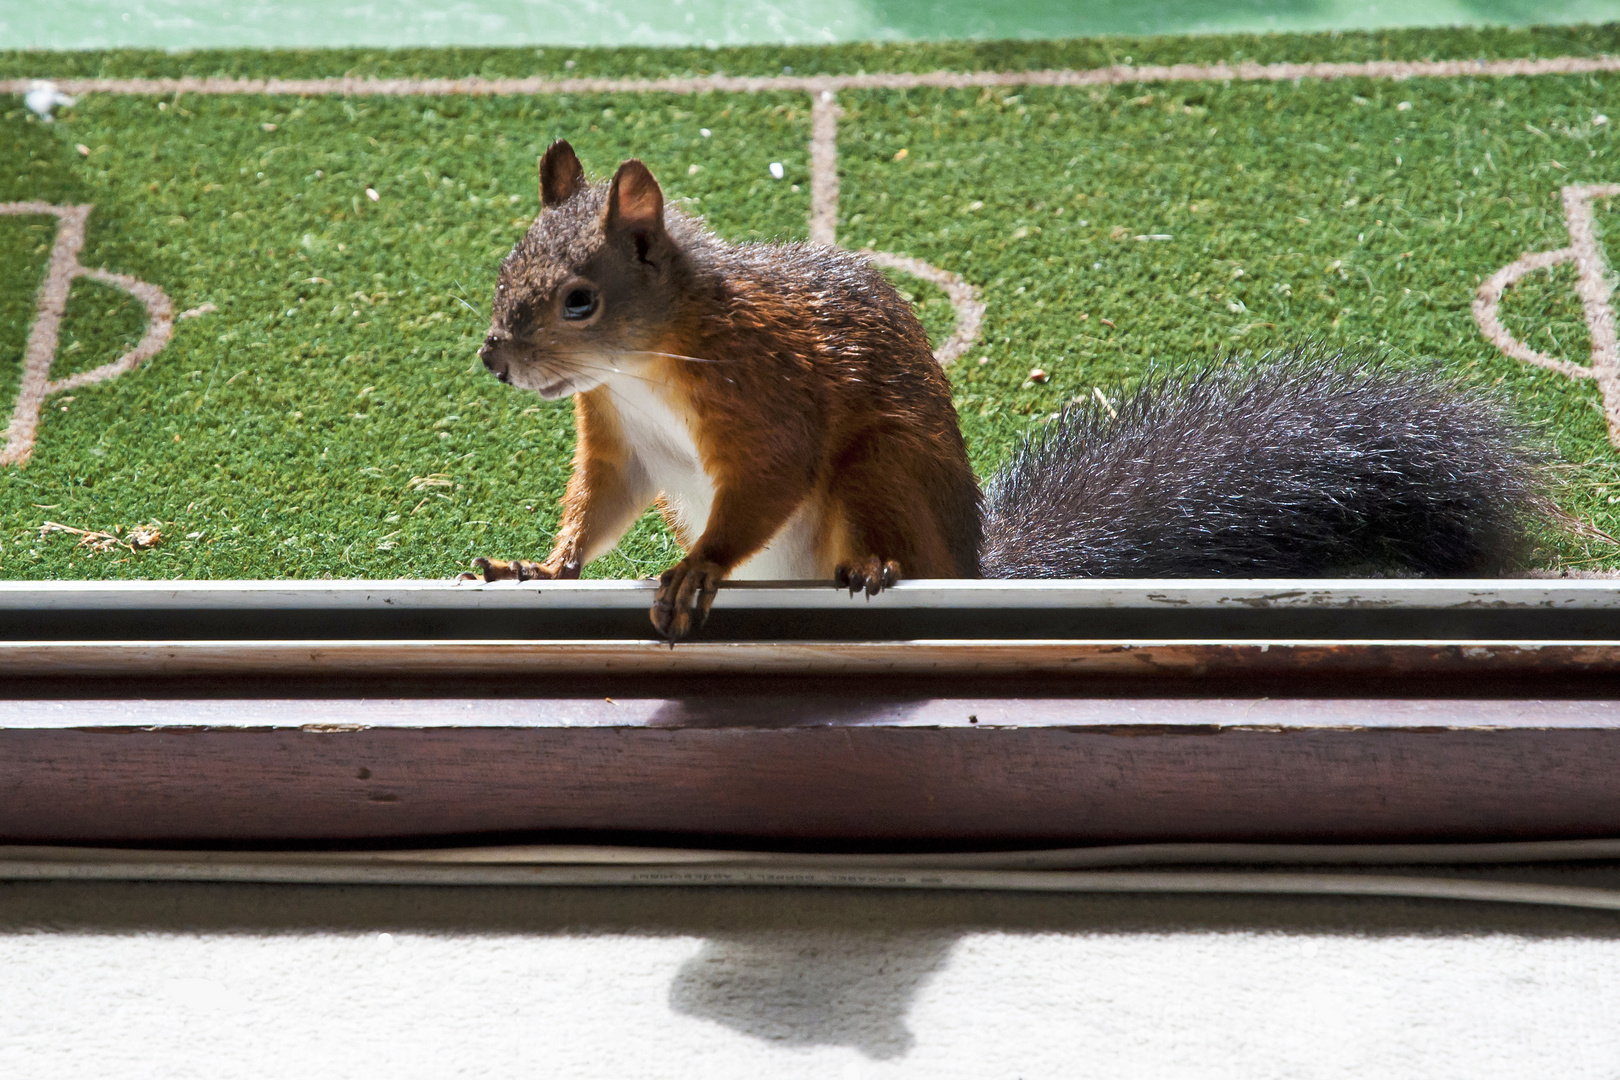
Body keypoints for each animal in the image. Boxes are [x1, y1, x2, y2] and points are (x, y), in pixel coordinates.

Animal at [466, 139, 1542, 637]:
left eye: (578, 300)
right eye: (506, 260)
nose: (494, 357)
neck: (648, 364)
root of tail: (976, 566)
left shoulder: (767, 399)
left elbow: (765, 483)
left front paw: (697, 567)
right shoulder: (617, 433)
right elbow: (601, 500)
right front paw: (543, 569)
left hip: (881, 469)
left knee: (877, 528)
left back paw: (877, 569)